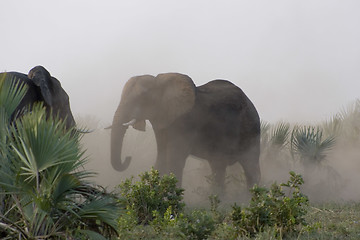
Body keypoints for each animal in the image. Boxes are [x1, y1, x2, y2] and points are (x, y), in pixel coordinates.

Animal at [111, 73, 260, 189]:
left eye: (142, 96)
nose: (128, 158)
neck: (160, 83)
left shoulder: (184, 123)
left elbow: (174, 160)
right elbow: (161, 159)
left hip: (251, 129)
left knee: (251, 167)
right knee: (218, 167)